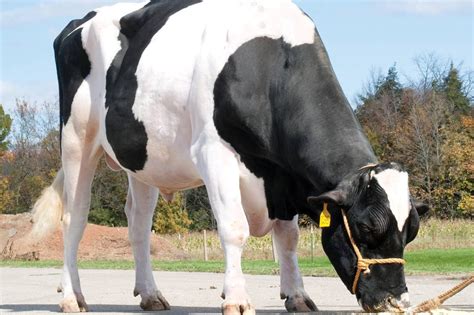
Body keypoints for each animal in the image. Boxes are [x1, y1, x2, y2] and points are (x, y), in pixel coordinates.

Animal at [31, 0, 428, 314]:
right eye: (365, 228)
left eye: (411, 232)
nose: (396, 301)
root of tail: (81, 20)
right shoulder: (213, 152)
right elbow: (234, 228)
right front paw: (236, 299)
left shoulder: (281, 176)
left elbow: (288, 239)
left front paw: (297, 295)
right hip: (76, 139)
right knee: (74, 218)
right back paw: (72, 297)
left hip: (143, 158)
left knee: (139, 223)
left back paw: (151, 295)